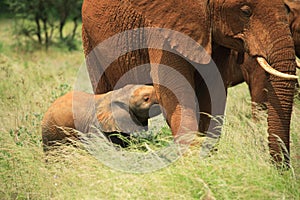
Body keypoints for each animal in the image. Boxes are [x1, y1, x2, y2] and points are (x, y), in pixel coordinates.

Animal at [81, 0, 298, 166]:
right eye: (245, 11)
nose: (280, 171)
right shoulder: (164, 26)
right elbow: (175, 95)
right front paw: (193, 163)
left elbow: (213, 94)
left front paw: (205, 160)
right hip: (91, 41)